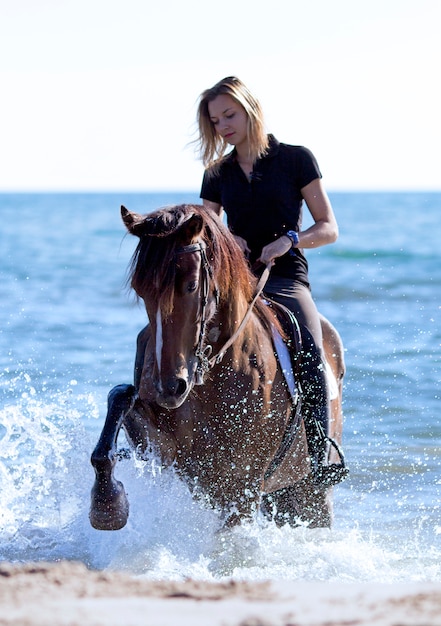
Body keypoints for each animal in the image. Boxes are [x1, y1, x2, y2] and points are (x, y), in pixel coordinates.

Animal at [89, 204, 346, 528]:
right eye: (140, 289)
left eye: (190, 285)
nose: (170, 388)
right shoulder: (166, 451)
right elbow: (121, 395)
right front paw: (107, 505)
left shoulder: (242, 487)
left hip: (309, 493)